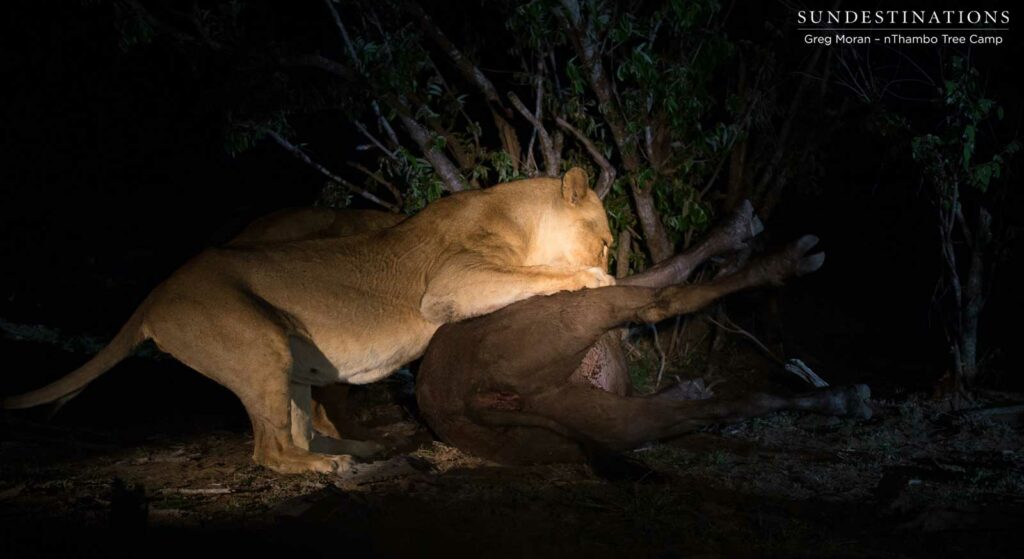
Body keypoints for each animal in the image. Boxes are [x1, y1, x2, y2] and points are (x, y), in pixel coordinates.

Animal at [3, 168, 615, 474]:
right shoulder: (450, 284)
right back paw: (332, 467)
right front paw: (593, 279)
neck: (516, 215)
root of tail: (154, 296)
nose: (614, 257)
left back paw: (363, 453)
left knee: (303, 431)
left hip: (291, 362)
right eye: (607, 240)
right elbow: (535, 273)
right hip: (259, 343)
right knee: (271, 453)